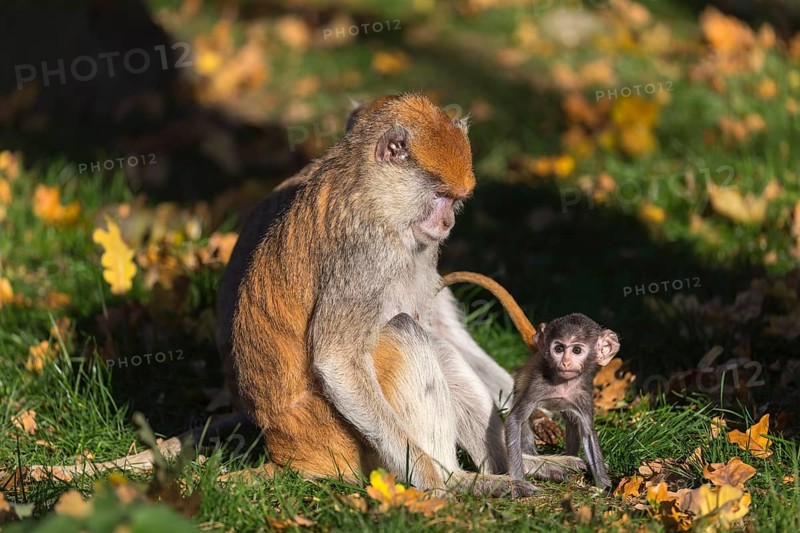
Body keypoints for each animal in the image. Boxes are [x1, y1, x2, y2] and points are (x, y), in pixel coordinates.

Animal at [218, 94, 586, 497]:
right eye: (439, 196)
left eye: (455, 200)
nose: (447, 223)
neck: (370, 192)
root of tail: (289, 453)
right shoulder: (366, 253)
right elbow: (338, 360)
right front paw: (433, 484)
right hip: (340, 441)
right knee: (402, 331)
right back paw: (456, 480)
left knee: (437, 345)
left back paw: (519, 468)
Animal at [441, 272, 618, 491]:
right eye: (559, 348)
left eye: (577, 350)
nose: (565, 362)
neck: (561, 384)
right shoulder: (537, 387)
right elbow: (515, 421)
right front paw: (518, 479)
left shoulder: (583, 394)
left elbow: (587, 432)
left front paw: (605, 486)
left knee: (571, 422)